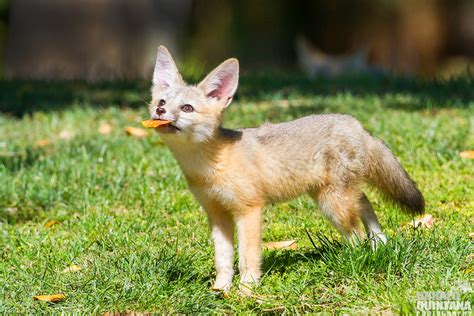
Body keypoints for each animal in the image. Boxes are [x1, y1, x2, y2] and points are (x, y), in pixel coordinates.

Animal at [148, 45, 426, 296]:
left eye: (187, 108)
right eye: (162, 102)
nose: (159, 111)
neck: (211, 166)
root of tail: (354, 123)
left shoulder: (249, 210)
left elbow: (247, 257)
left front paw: (246, 290)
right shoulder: (217, 215)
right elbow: (223, 260)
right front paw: (221, 289)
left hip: (333, 204)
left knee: (356, 234)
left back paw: (356, 259)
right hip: (332, 195)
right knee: (365, 204)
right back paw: (379, 243)